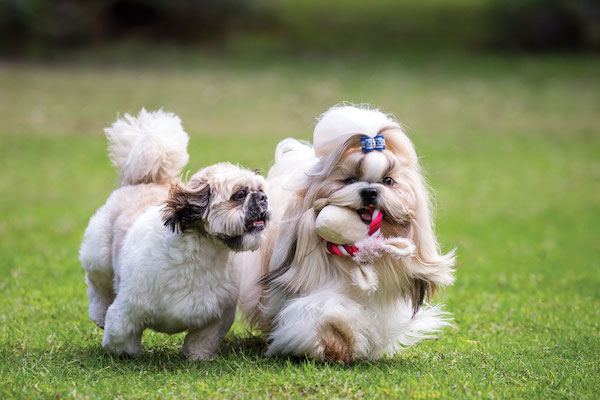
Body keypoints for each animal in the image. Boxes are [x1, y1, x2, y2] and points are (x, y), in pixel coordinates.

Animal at [79, 108, 270, 360]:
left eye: (261, 190)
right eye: (239, 194)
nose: (263, 198)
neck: (202, 255)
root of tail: (145, 181)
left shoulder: (216, 317)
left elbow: (201, 341)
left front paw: (198, 358)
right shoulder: (127, 312)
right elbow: (121, 339)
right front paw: (126, 355)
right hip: (99, 258)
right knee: (97, 288)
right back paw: (99, 314)